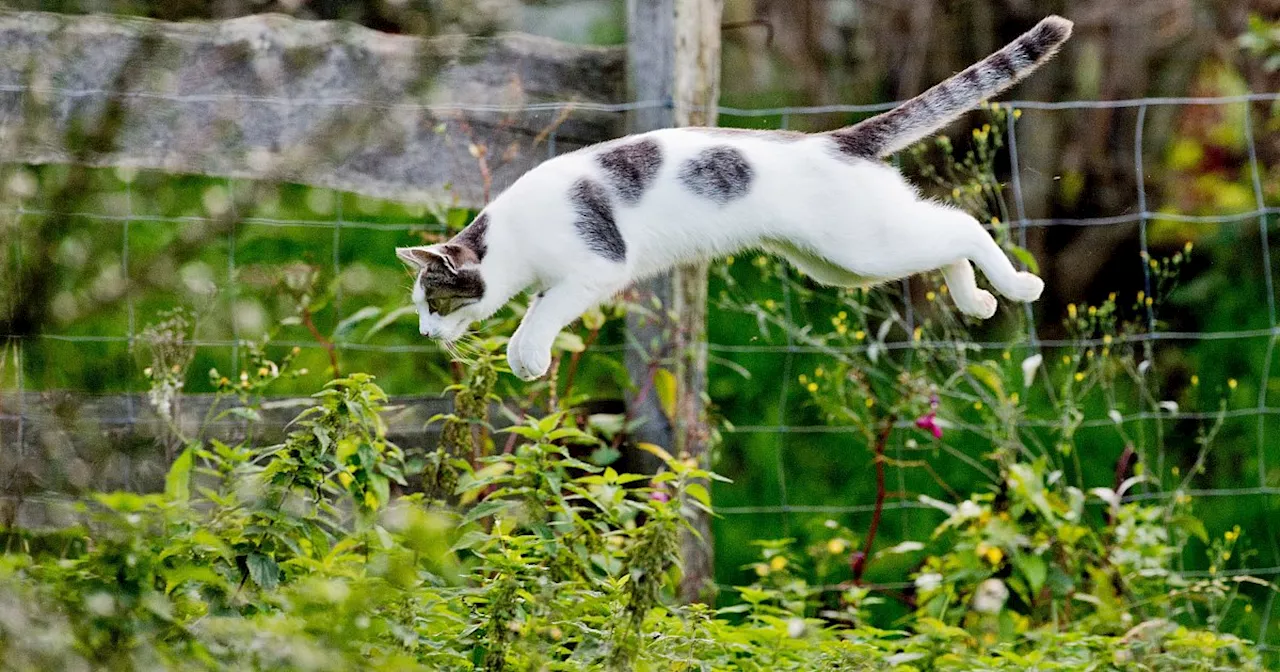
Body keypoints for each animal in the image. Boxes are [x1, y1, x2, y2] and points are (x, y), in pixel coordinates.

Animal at [396, 15, 1070, 378]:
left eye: (436, 301)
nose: (426, 334)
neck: (515, 239)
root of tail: (835, 138)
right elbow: (537, 309)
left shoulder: (596, 268)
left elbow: (537, 317)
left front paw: (528, 356)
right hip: (843, 263)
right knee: (944, 234)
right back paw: (978, 302)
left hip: (862, 247)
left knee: (964, 226)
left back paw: (1018, 287)